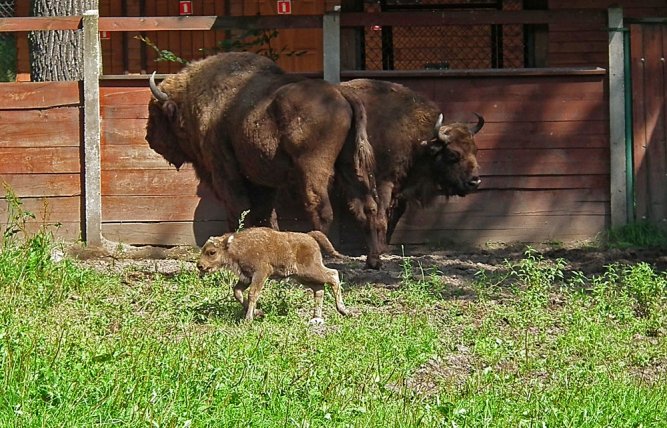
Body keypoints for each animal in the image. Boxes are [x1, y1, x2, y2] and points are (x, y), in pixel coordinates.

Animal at [146, 51, 380, 260]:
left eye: (156, 114)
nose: (149, 137)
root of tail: (339, 92)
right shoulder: (262, 180)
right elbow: (264, 213)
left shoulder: (225, 171)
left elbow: (239, 208)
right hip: (349, 164)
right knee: (366, 205)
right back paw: (373, 260)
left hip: (312, 167)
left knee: (319, 206)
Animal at [197, 227, 350, 320]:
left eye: (212, 252)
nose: (200, 265)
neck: (236, 247)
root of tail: (309, 236)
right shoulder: (246, 277)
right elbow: (237, 292)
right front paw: (258, 313)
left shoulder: (260, 274)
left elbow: (252, 294)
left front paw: (248, 319)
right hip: (303, 277)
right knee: (319, 289)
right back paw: (316, 317)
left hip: (310, 271)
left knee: (332, 275)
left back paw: (343, 310)